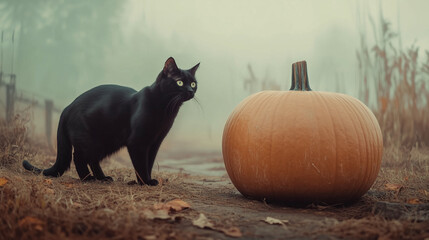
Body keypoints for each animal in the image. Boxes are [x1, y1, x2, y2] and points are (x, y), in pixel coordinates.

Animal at [24, 56, 201, 186]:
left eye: (193, 83)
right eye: (179, 82)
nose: (190, 91)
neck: (166, 110)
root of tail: (67, 107)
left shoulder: (155, 142)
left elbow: (149, 163)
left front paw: (146, 180)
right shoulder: (138, 142)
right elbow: (141, 164)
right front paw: (145, 182)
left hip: (106, 142)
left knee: (93, 159)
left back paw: (102, 178)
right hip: (90, 140)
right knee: (79, 157)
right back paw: (88, 178)